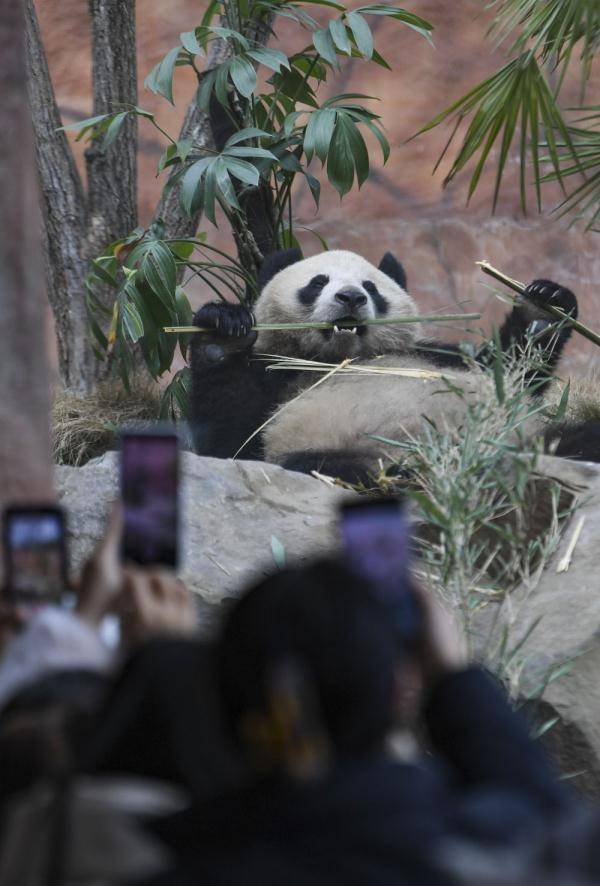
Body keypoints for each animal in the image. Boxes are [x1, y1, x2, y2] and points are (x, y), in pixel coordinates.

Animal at [190, 250, 592, 486]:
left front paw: (545, 306)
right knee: (327, 465)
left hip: (528, 438)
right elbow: (231, 441)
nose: (351, 297)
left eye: (370, 286)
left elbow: (507, 372)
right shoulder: (274, 374)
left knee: (571, 440)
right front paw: (221, 331)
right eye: (318, 282)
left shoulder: (433, 354)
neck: (337, 358)